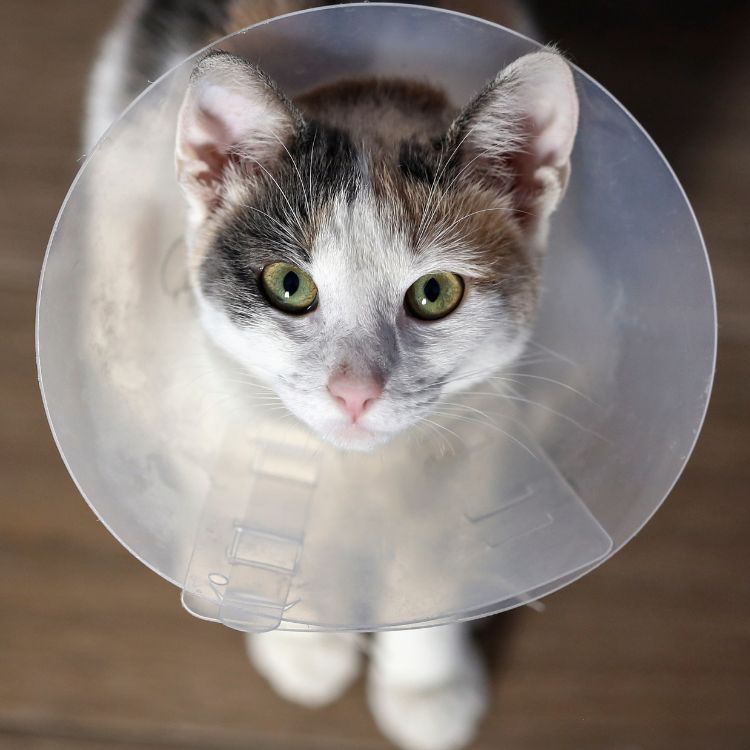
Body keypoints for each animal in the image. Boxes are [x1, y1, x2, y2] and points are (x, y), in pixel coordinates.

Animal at [86, 2, 580, 748]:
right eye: (289, 284)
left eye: (434, 292)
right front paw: (302, 640)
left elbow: (434, 554)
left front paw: (425, 683)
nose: (354, 392)